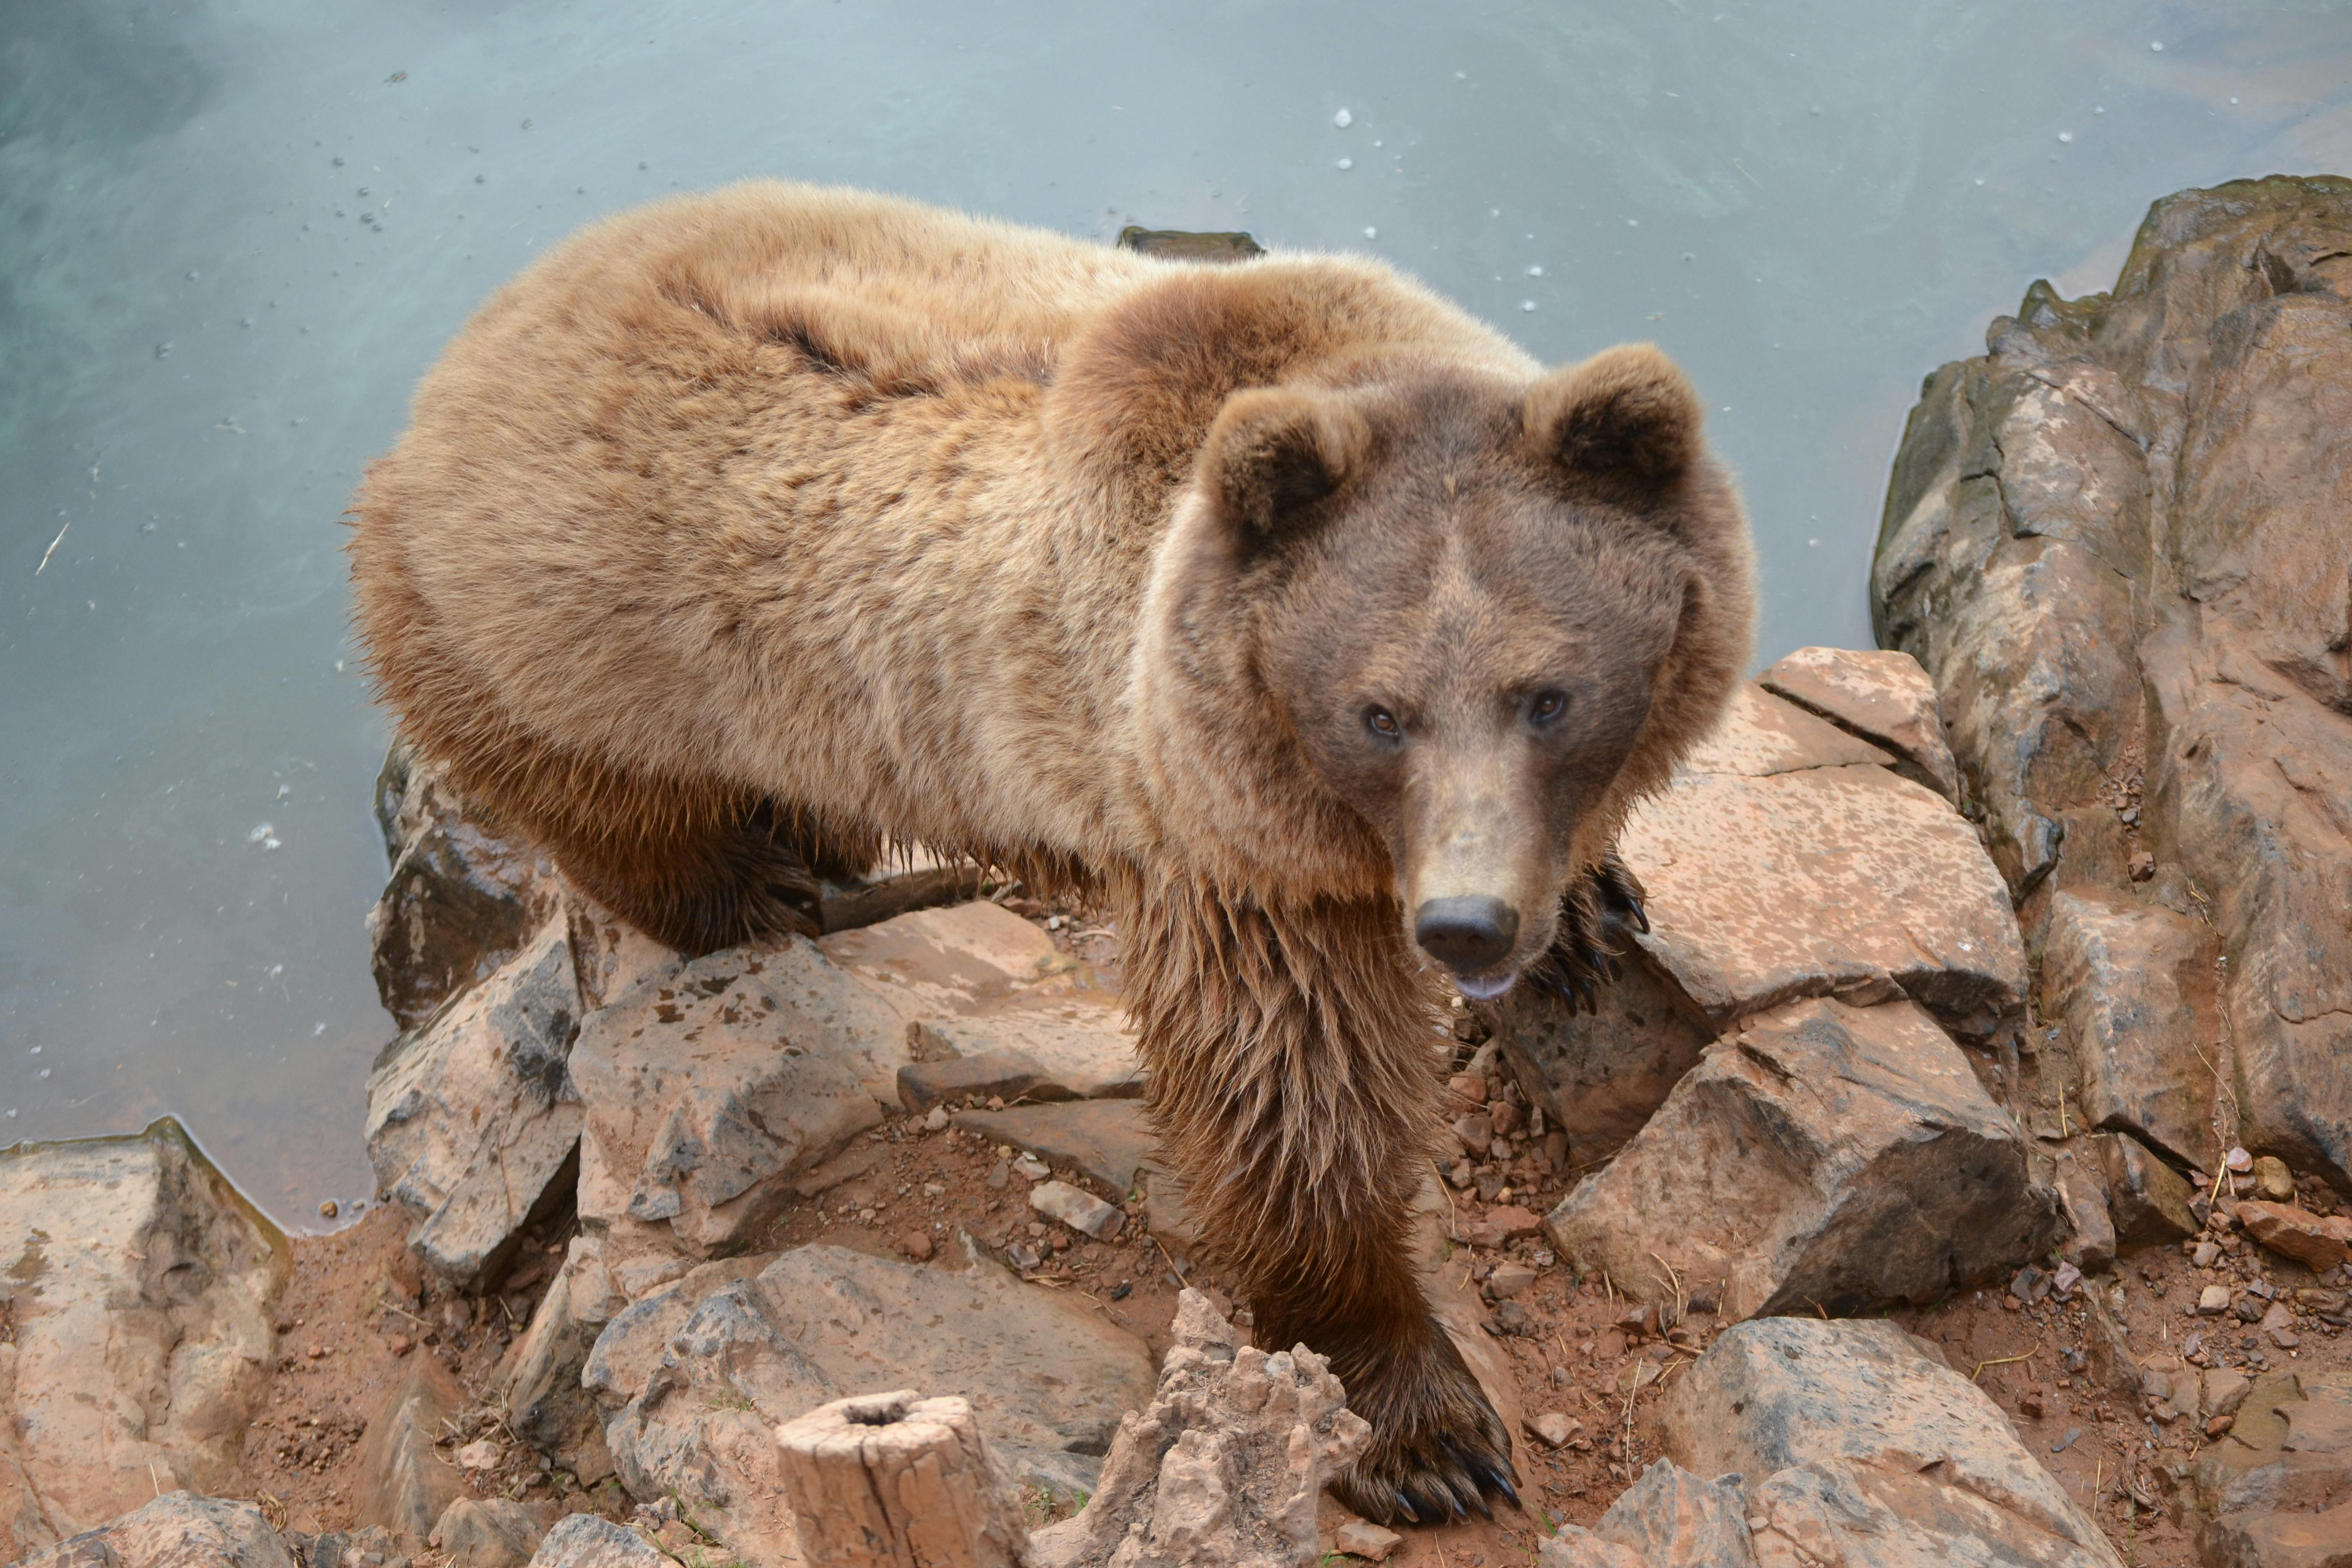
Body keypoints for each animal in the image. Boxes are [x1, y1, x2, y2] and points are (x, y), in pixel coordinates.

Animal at [348, 182, 1754, 1523]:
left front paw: (1594, 910)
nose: (1466, 922)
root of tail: (467, 349)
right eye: (1377, 710)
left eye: (1549, 695)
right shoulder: (1213, 836)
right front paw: (1420, 1426)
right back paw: (792, 884)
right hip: (576, 647)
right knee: (631, 815)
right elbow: (1293, 1096)